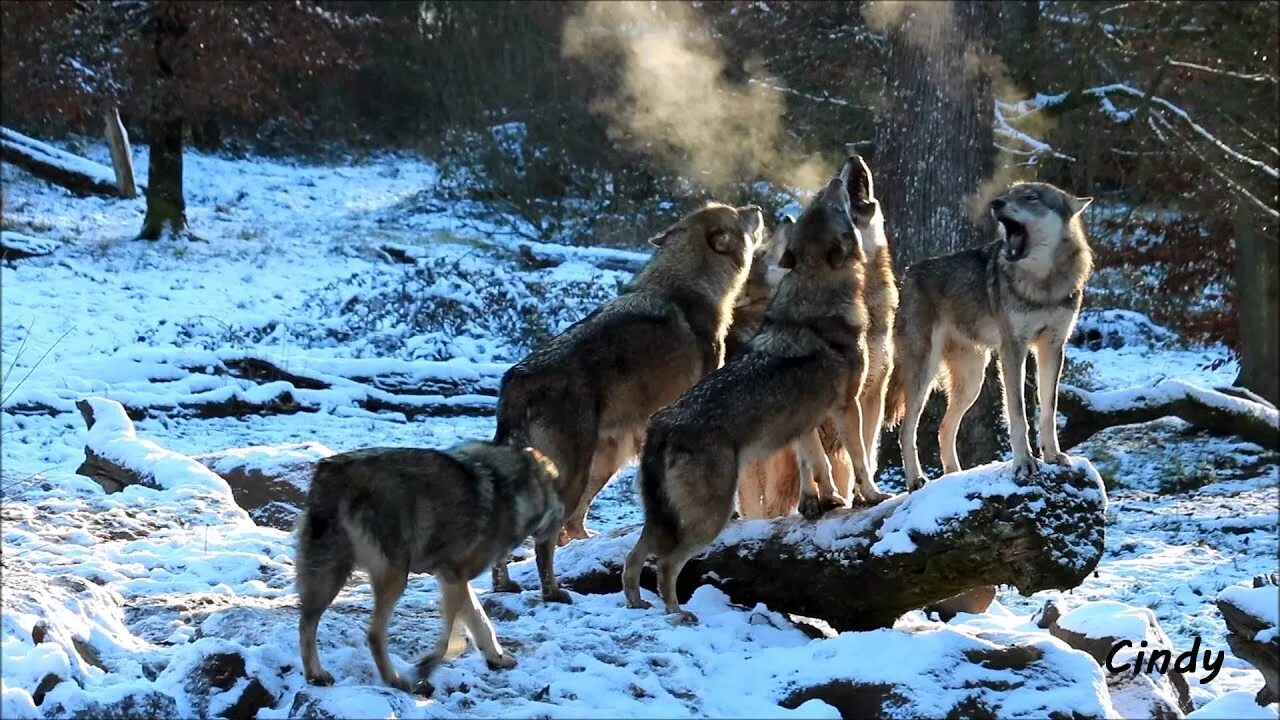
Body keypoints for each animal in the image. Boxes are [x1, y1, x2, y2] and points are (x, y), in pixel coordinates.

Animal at [299, 440, 565, 691]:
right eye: (557, 494)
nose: (562, 516)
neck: (511, 489)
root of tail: (332, 470)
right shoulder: (453, 576)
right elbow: (450, 639)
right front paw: (425, 667)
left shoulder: (454, 579)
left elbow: (481, 622)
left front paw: (497, 658)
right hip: (394, 578)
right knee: (373, 635)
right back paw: (395, 680)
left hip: (329, 574)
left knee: (306, 623)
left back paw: (315, 675)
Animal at [494, 199, 762, 599]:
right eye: (738, 213)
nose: (757, 206)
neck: (686, 287)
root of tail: (516, 380)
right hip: (576, 472)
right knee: (546, 538)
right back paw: (553, 592)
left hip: (602, 461)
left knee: (561, 527)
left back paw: (507, 585)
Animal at [622, 158, 890, 617]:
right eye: (833, 205)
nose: (836, 176)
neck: (817, 295)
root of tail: (661, 427)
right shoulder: (847, 406)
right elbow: (859, 460)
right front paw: (870, 496)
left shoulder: (805, 423)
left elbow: (818, 467)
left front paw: (828, 502)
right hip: (709, 517)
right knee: (667, 563)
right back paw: (678, 614)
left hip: (661, 519)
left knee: (633, 559)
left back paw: (637, 605)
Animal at [885, 181, 1095, 489]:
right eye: (1008, 194)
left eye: (1030, 197)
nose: (996, 203)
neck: (1043, 285)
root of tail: (909, 274)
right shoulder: (1013, 349)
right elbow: (1018, 414)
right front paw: (1024, 463)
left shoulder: (1053, 347)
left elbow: (1048, 410)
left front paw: (1053, 456)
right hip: (924, 375)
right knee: (906, 430)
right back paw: (915, 480)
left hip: (972, 381)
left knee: (943, 428)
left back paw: (953, 475)